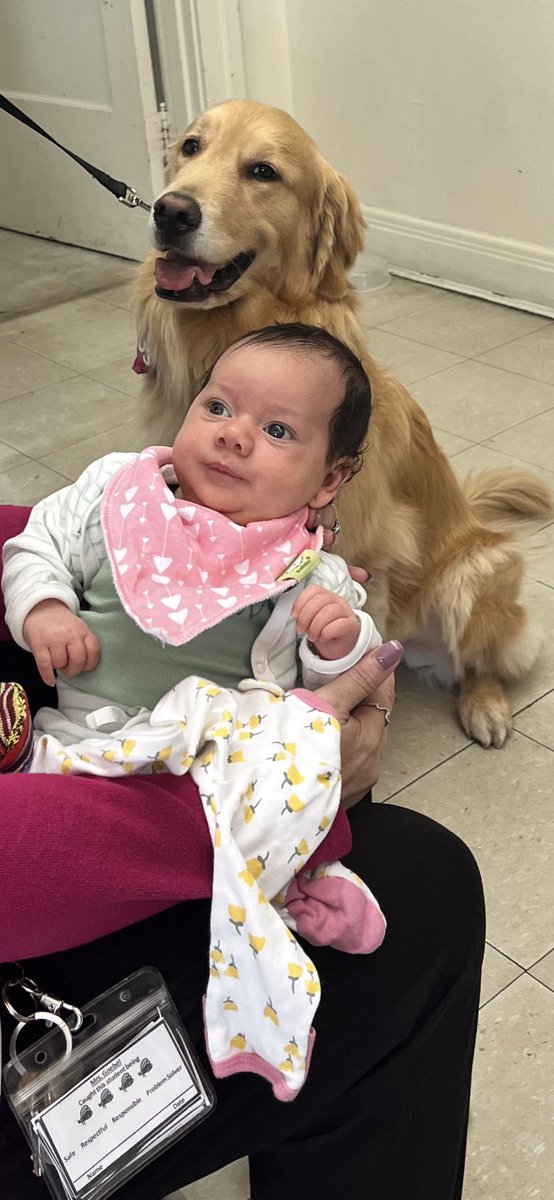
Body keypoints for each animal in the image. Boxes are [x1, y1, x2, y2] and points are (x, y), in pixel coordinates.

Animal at [135, 98, 554, 744]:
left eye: (263, 172)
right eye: (190, 147)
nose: (170, 210)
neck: (229, 337)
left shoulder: (368, 555)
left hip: (471, 576)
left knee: (482, 659)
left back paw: (485, 706)